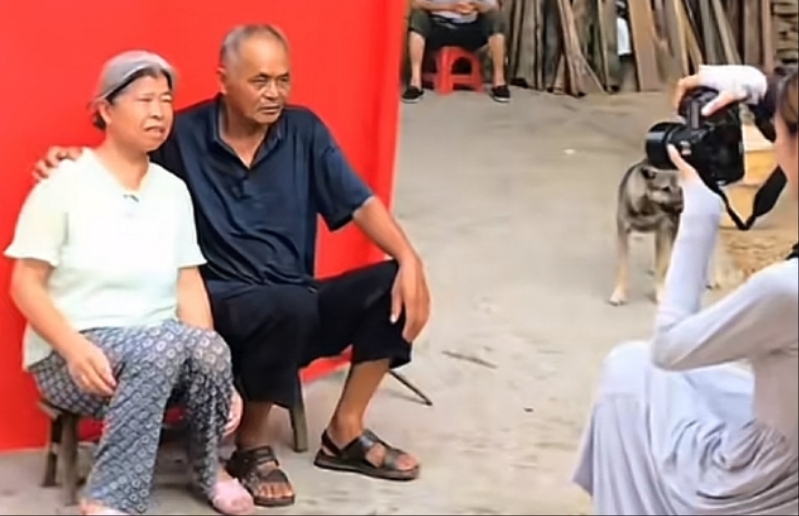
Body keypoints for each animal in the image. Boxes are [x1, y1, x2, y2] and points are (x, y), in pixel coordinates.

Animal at [609, 159, 684, 306]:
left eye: (680, 189)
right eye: (665, 189)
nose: (680, 208)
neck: (647, 206)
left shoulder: (663, 230)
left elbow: (662, 266)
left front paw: (659, 293)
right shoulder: (623, 233)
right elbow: (622, 267)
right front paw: (619, 293)